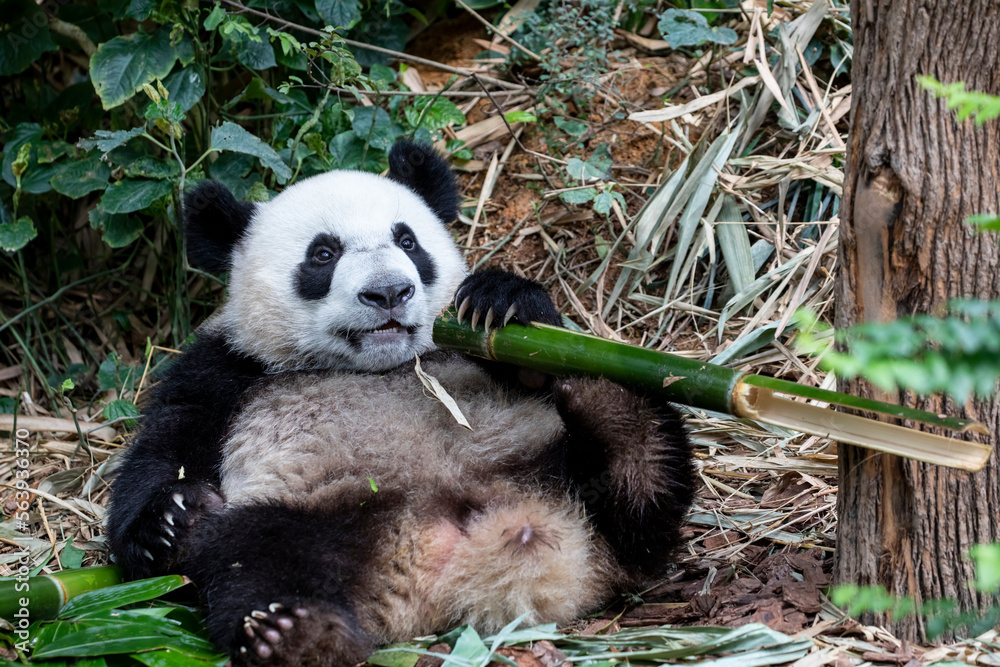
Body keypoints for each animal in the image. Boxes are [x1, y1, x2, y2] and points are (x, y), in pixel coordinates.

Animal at [106, 141, 695, 667]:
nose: (389, 292)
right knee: (252, 558)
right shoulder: (227, 370)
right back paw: (299, 635)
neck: (381, 364)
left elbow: (526, 356)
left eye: (407, 240)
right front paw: (169, 518)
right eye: (323, 254)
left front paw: (504, 300)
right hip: (313, 512)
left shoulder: (464, 349)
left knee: (641, 510)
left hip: (540, 461)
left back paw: (621, 419)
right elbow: (165, 455)